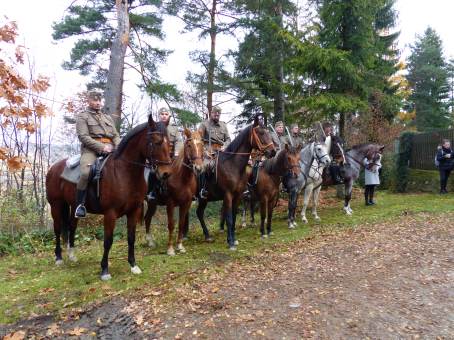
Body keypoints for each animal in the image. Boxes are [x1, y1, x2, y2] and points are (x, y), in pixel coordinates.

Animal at [45, 115, 172, 280]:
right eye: (156, 142)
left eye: (169, 142)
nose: (166, 173)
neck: (124, 172)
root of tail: (53, 168)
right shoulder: (110, 214)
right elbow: (108, 241)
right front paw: (104, 270)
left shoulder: (134, 211)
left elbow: (131, 238)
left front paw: (133, 265)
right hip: (56, 206)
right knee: (58, 229)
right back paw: (59, 258)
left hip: (73, 206)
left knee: (72, 227)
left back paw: (72, 255)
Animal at [194, 118, 274, 251]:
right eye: (261, 132)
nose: (273, 151)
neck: (233, 165)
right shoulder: (228, 196)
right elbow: (229, 219)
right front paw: (230, 242)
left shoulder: (237, 196)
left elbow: (234, 217)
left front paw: (234, 239)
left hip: (203, 199)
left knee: (199, 213)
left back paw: (207, 236)